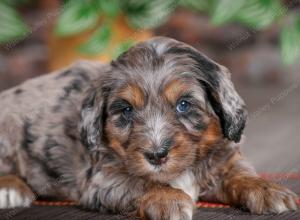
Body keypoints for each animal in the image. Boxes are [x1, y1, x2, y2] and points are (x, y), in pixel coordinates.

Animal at [0, 37, 298, 219]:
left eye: (183, 105)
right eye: (126, 110)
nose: (156, 155)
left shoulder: (226, 160)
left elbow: (240, 174)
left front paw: (267, 189)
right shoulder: (103, 179)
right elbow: (140, 182)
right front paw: (169, 199)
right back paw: (12, 189)